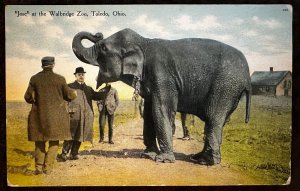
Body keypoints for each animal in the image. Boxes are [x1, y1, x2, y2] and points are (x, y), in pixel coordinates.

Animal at [72, 28, 251, 166]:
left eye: (103, 47)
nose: (98, 34)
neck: (144, 42)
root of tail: (247, 74)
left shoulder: (163, 76)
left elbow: (161, 109)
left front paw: (163, 160)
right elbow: (150, 112)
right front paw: (148, 155)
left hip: (225, 86)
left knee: (214, 118)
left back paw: (205, 162)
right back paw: (197, 158)